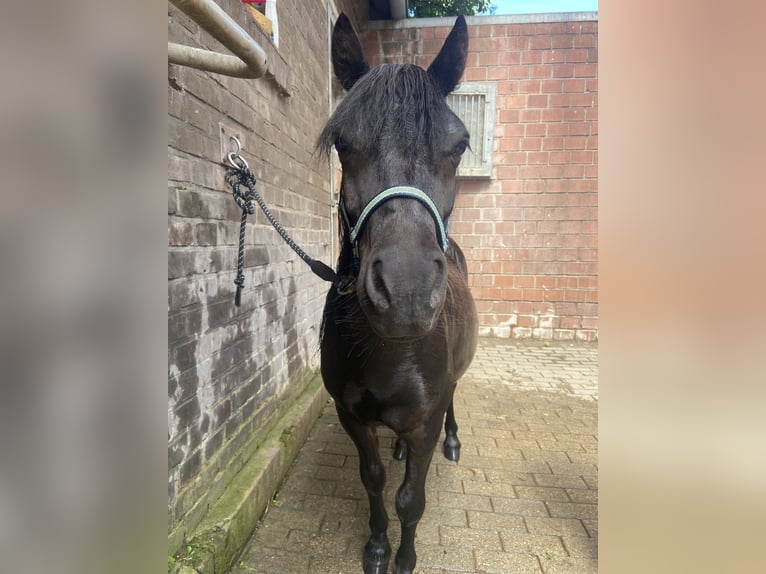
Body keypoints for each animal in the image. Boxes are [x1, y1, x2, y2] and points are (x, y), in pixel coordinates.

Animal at [320, 13, 480, 574]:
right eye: (343, 142)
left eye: (459, 145)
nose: (406, 293)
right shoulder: (351, 417)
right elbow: (374, 481)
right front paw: (375, 547)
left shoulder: (425, 418)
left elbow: (412, 500)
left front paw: (404, 559)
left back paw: (453, 442)